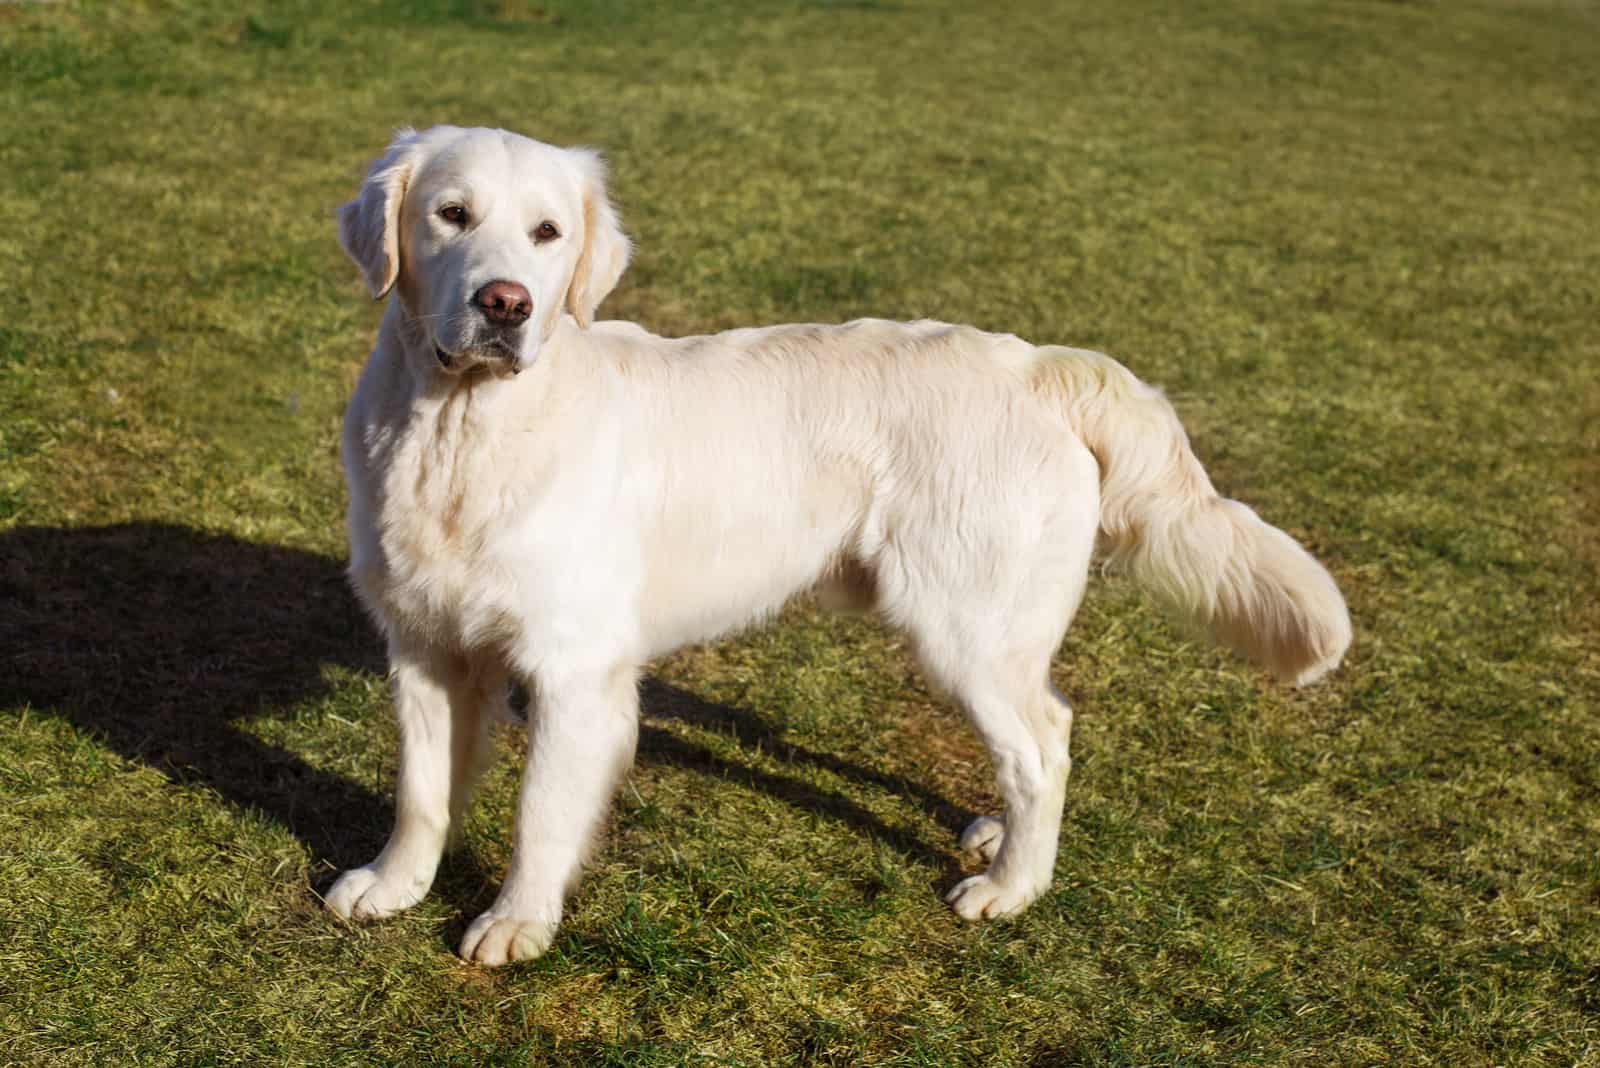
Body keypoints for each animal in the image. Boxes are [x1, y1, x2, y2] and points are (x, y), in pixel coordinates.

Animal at [324, 125, 1350, 965]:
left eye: (547, 234)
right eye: (451, 215)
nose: (506, 305)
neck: (461, 432)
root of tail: (1037, 364)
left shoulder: (575, 669)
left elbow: (541, 814)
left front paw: (516, 924)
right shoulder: (426, 647)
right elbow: (421, 789)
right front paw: (394, 885)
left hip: (966, 628)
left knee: (1044, 745)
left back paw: (1011, 889)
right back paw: (999, 839)